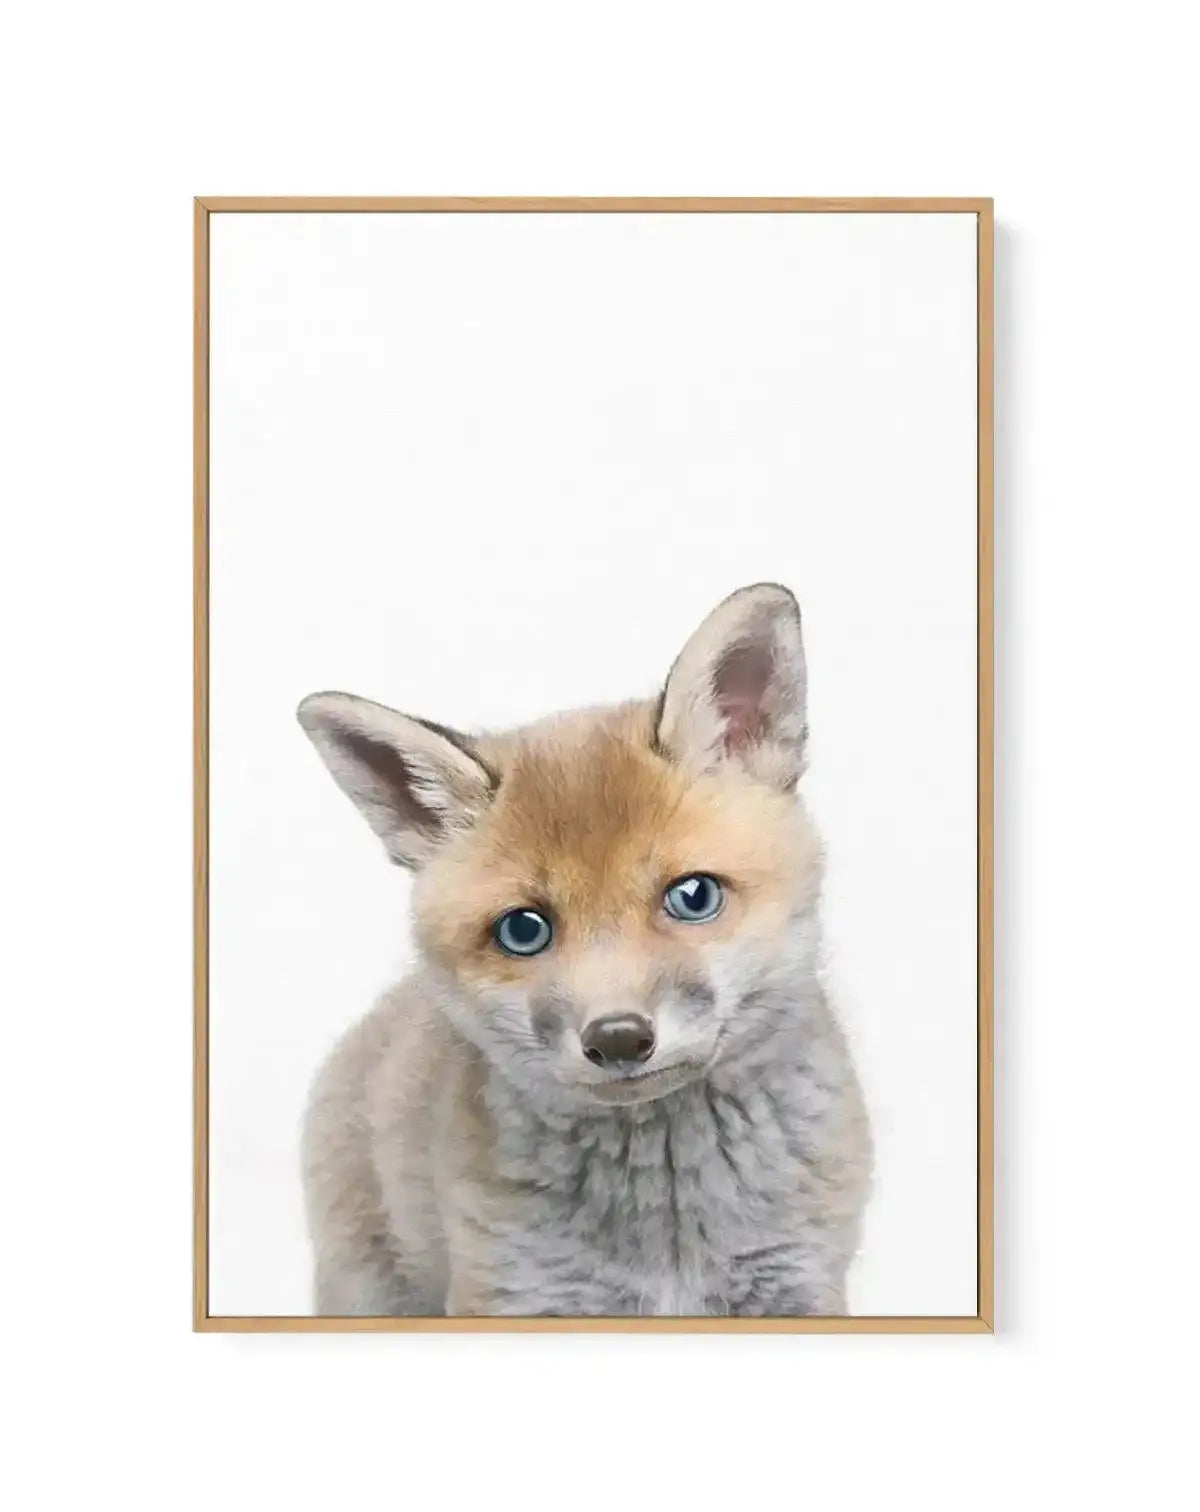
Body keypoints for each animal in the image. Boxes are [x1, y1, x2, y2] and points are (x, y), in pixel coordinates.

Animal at [297, 583, 872, 1317]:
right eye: (524, 930)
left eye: (693, 896)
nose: (619, 1038)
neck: (669, 1231)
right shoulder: (515, 1292)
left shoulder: (798, 1281)